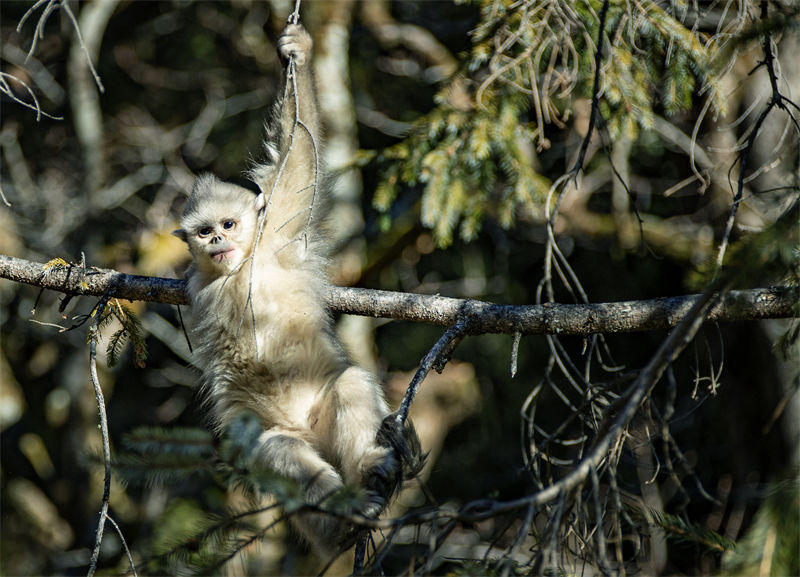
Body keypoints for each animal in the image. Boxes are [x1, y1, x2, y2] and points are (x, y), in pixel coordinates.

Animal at [173, 24, 424, 556]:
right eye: (205, 231)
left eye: (229, 224)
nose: (219, 241)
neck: (238, 270)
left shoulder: (278, 233)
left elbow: (299, 164)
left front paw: (299, 50)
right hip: (279, 440)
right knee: (281, 451)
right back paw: (345, 521)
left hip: (326, 410)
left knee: (351, 384)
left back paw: (377, 471)